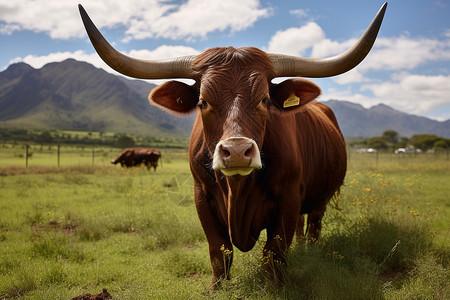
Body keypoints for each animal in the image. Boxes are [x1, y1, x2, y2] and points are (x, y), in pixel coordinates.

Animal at [78, 2, 386, 288]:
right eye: (203, 101)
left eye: (264, 99)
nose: (237, 152)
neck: (238, 191)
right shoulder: (202, 197)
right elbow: (219, 250)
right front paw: (217, 287)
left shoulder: (287, 198)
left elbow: (274, 252)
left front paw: (277, 286)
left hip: (320, 198)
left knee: (313, 227)